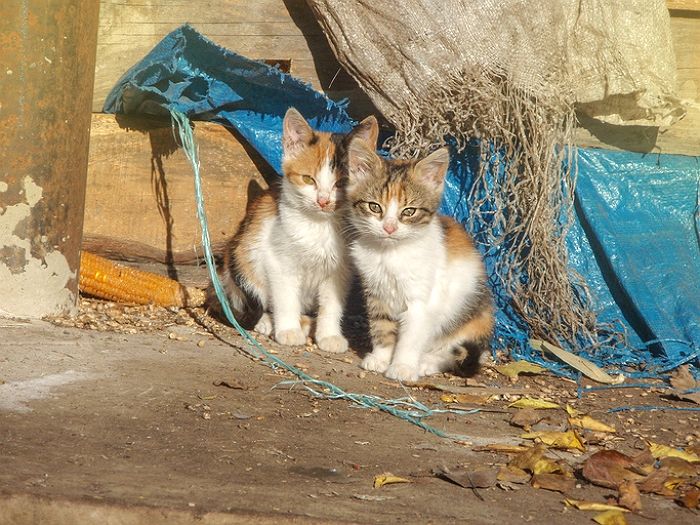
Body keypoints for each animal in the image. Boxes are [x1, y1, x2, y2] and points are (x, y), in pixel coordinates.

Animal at [213, 107, 378, 352]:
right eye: (308, 179)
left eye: (341, 184)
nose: (323, 201)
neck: (320, 226)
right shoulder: (278, 261)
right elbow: (285, 298)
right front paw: (288, 331)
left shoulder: (340, 271)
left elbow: (332, 303)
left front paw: (329, 335)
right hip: (241, 256)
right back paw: (269, 322)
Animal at [344, 139, 492, 380]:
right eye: (374, 206)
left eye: (409, 211)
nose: (389, 228)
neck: (391, 253)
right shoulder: (376, 292)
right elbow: (381, 326)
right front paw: (381, 357)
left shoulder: (422, 301)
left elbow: (411, 337)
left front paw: (402, 366)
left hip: (471, 318)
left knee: (455, 352)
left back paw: (426, 362)